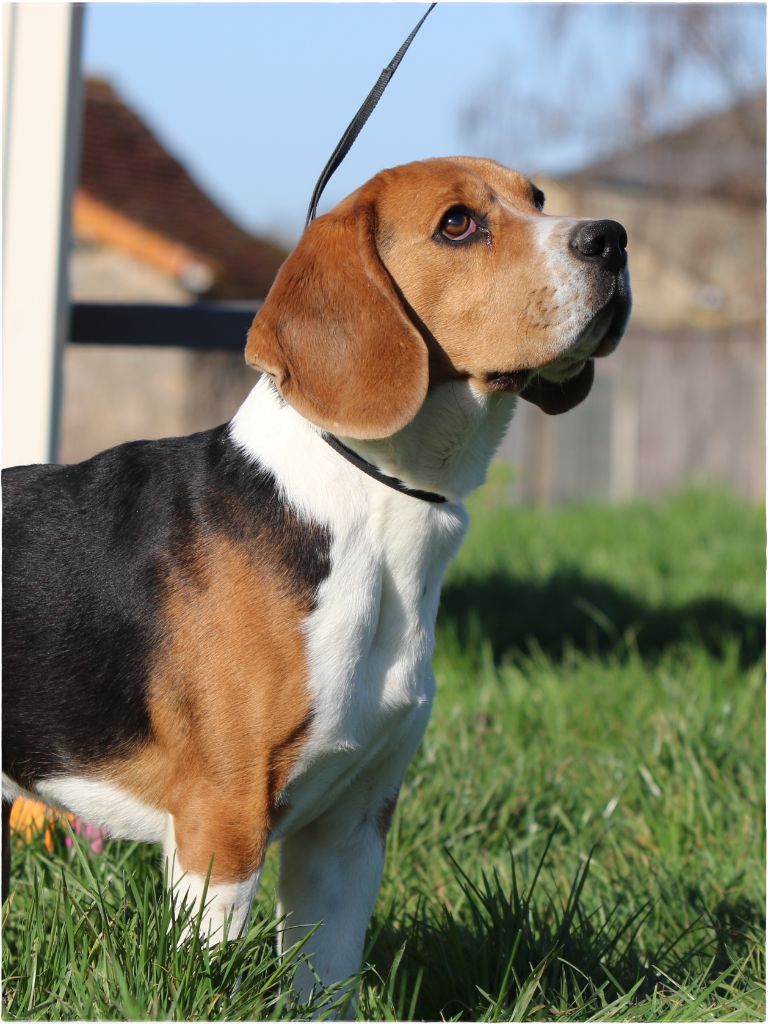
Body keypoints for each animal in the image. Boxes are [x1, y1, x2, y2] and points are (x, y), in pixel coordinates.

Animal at [2, 156, 630, 1004]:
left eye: (538, 199)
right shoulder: (222, 822)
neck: (373, 513)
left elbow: (326, 989)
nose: (611, 239)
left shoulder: (350, 829)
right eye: (458, 224)